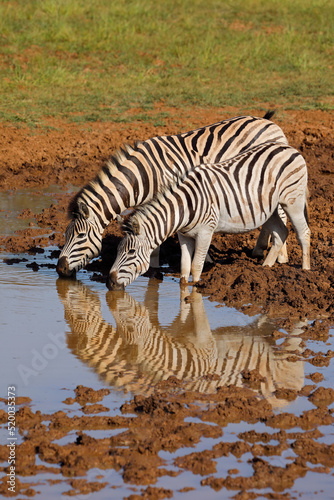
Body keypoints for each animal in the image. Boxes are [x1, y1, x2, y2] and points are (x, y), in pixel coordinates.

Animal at [56, 111, 288, 280]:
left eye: (80, 236)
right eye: (66, 235)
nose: (59, 269)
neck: (144, 175)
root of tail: (269, 122)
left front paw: (153, 265)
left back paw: (282, 258)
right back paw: (259, 250)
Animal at [108, 141, 310, 290]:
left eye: (131, 252)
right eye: (117, 250)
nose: (109, 283)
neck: (184, 208)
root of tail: (288, 147)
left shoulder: (206, 232)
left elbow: (196, 266)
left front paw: (196, 288)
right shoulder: (184, 235)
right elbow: (184, 266)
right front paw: (184, 289)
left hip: (293, 201)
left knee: (303, 233)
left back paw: (305, 272)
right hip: (272, 208)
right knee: (282, 232)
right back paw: (265, 269)